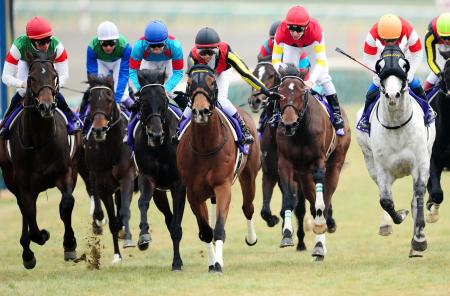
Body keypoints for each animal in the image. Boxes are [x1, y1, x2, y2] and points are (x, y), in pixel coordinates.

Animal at [0, 52, 79, 270]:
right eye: (31, 78)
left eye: (54, 76)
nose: (46, 106)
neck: (40, 139)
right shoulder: (25, 185)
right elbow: (31, 219)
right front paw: (41, 236)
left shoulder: (66, 172)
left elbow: (66, 204)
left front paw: (70, 244)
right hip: (11, 180)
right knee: (24, 211)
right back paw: (27, 253)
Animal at [177, 65, 260, 272]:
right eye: (189, 83)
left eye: (212, 82)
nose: (201, 111)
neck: (205, 147)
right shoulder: (193, 192)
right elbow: (206, 230)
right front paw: (211, 262)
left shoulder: (223, 186)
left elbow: (220, 228)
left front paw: (219, 263)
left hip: (249, 176)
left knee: (248, 207)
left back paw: (251, 238)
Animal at [276, 64, 350, 260]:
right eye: (279, 92)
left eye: (302, 93)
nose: (288, 123)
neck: (300, 131)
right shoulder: (285, 163)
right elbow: (289, 199)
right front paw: (287, 234)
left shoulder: (318, 163)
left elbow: (321, 205)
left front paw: (319, 240)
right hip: (303, 175)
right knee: (311, 202)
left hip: (334, 166)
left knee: (324, 200)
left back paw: (321, 240)